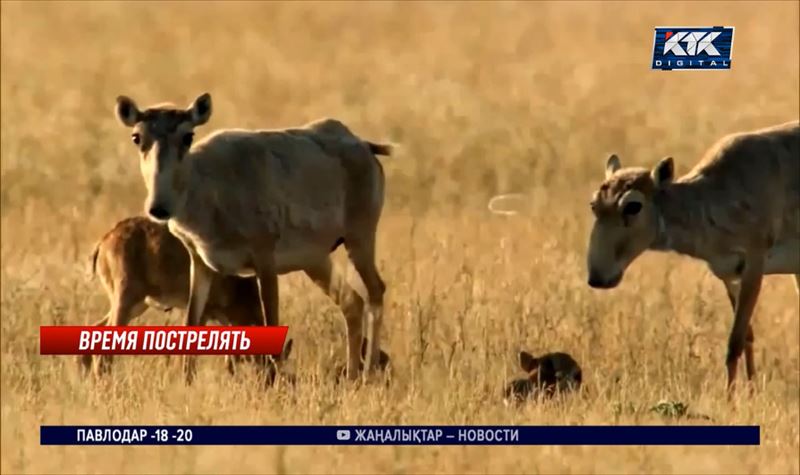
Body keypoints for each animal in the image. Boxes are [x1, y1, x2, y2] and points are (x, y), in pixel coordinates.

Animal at [114, 94, 396, 386]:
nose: (159, 207)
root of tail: (364, 145)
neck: (210, 184)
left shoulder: (265, 261)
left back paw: (368, 373)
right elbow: (192, 321)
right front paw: (186, 383)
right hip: (316, 261)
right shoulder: (200, 263)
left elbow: (272, 321)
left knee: (376, 291)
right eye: (137, 136)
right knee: (352, 301)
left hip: (359, 239)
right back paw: (352, 376)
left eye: (187, 135)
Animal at [584, 120, 796, 394]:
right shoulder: (727, 273)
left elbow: (734, 342)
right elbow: (747, 336)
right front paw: (750, 392)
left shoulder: (754, 264)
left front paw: (730, 398)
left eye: (633, 206)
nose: (597, 277)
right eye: (593, 204)